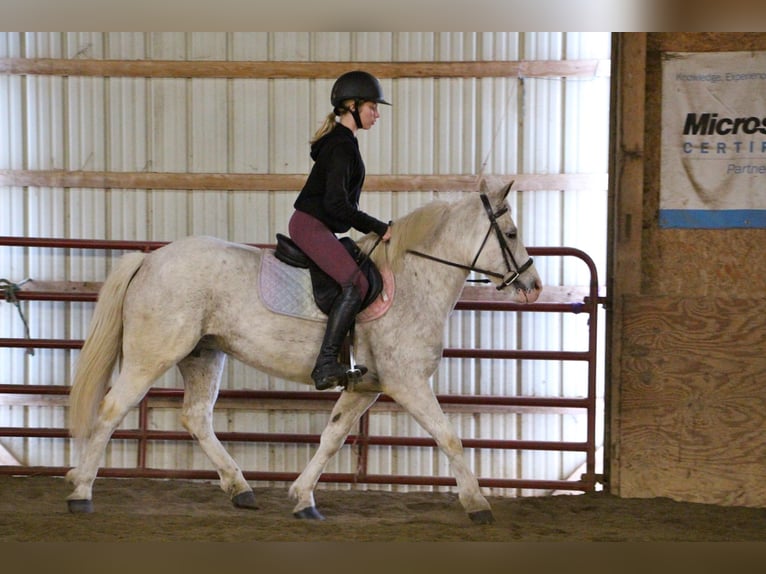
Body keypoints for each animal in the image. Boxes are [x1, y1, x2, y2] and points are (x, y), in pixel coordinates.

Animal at [67, 181, 544, 528]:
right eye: (512, 234)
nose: (533, 285)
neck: (414, 279)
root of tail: (149, 260)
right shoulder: (407, 383)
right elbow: (449, 437)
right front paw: (478, 504)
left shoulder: (365, 387)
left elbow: (332, 438)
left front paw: (303, 500)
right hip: (152, 356)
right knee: (111, 410)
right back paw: (80, 493)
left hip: (203, 355)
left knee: (197, 419)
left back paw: (240, 488)